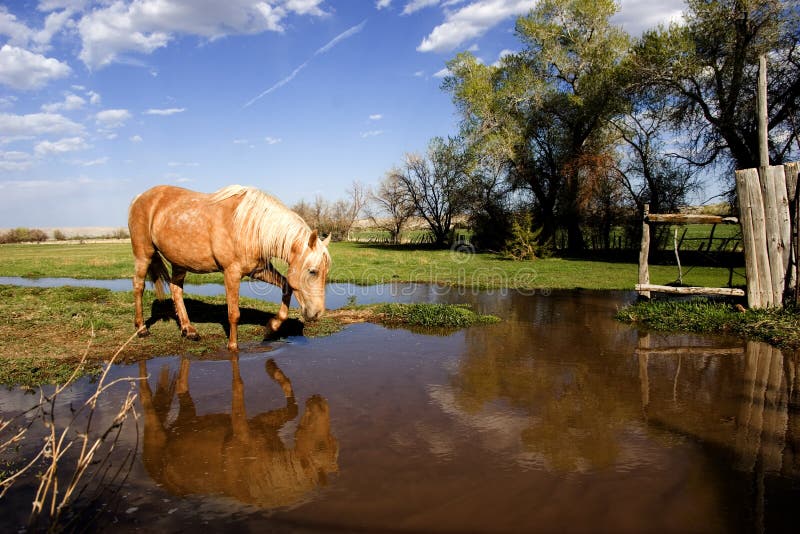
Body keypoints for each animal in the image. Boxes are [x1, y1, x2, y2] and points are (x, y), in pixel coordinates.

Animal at [130, 184, 330, 352]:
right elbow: (234, 313)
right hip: (144, 254)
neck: (249, 225)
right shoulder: (231, 273)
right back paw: (141, 329)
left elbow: (286, 286)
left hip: (180, 262)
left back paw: (189, 330)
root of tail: (139, 197)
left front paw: (271, 327)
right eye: (312, 271)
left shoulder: (258, 270)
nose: (317, 313)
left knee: (176, 289)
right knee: (138, 286)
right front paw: (233, 346)